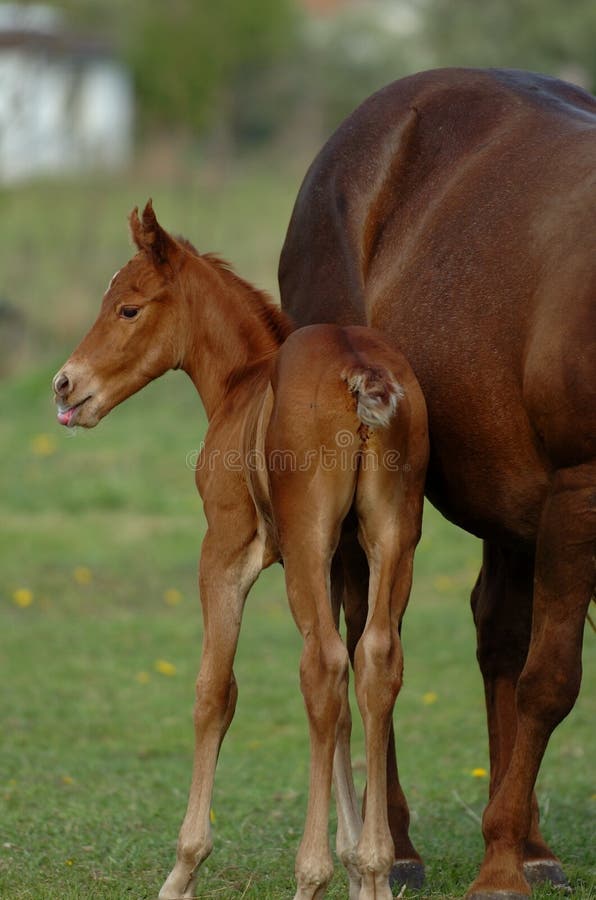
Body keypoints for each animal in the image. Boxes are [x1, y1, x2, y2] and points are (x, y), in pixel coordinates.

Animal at [50, 204, 424, 900]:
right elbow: (343, 710)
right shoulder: (344, 560)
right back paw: (375, 864)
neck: (243, 382)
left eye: (128, 308)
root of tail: (359, 369)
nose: (64, 385)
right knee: (375, 661)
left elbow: (214, 691)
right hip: (394, 535)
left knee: (321, 666)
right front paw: (360, 868)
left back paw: (309, 875)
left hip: (304, 545)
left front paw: (183, 867)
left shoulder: (225, 550)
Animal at [280, 68, 596, 900]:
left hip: (515, 502)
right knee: (369, 641)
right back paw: (404, 845)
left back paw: (529, 841)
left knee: (498, 639)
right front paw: (497, 874)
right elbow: (552, 681)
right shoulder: (581, 494)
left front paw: (509, 852)